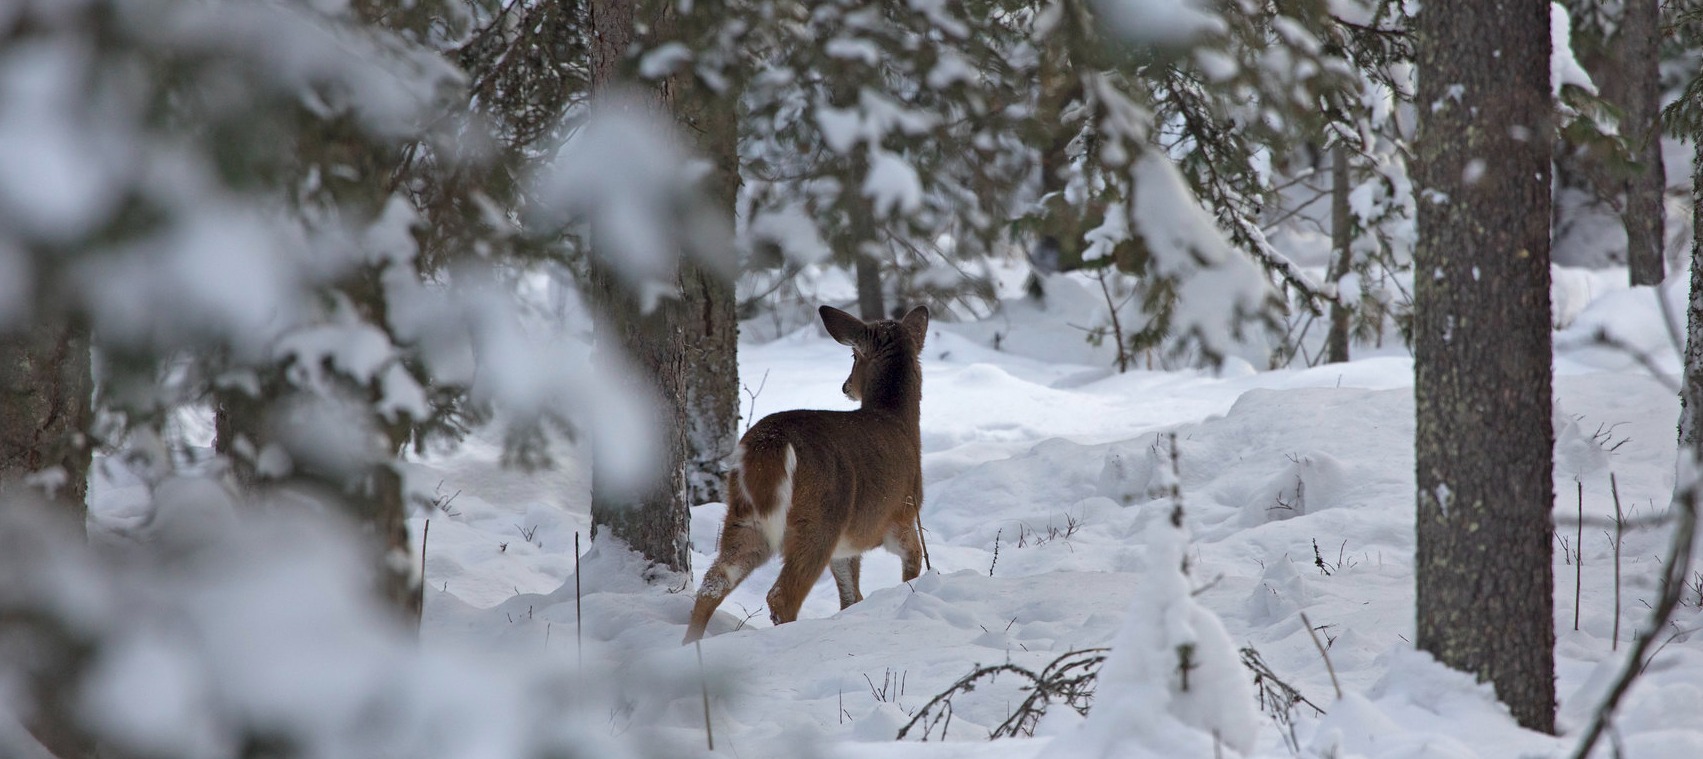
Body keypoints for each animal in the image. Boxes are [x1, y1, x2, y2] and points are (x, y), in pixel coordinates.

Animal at [681, 304, 933, 643]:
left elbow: (851, 595)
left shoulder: (846, 546)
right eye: (853, 355)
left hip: (744, 515)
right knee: (781, 595)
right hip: (819, 519)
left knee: (714, 582)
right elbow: (914, 560)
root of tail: (770, 441)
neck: (899, 421)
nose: (846, 386)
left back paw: (688, 645)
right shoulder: (901, 515)